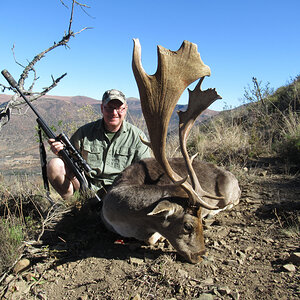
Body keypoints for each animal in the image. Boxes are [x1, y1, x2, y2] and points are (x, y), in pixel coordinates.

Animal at [101, 39, 241, 262]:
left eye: (199, 220)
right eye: (187, 225)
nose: (201, 255)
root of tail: (233, 178)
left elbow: (151, 238)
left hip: (229, 193)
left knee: (231, 202)